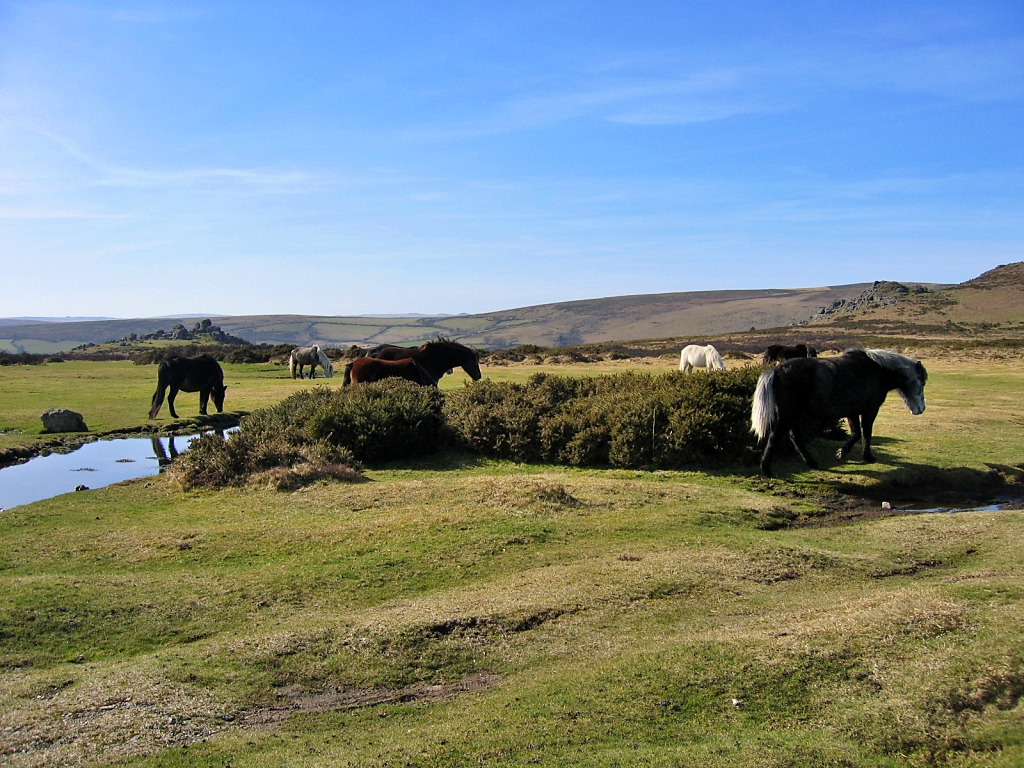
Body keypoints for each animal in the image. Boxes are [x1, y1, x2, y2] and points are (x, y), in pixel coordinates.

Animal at [753, 348, 929, 479]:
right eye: (922, 381)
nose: (921, 409)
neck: (877, 371)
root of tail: (776, 370)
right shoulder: (870, 409)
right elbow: (866, 433)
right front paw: (868, 457)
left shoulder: (852, 412)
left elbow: (856, 434)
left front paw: (841, 453)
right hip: (788, 415)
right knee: (775, 437)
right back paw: (766, 469)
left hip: (793, 415)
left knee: (795, 438)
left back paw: (812, 463)